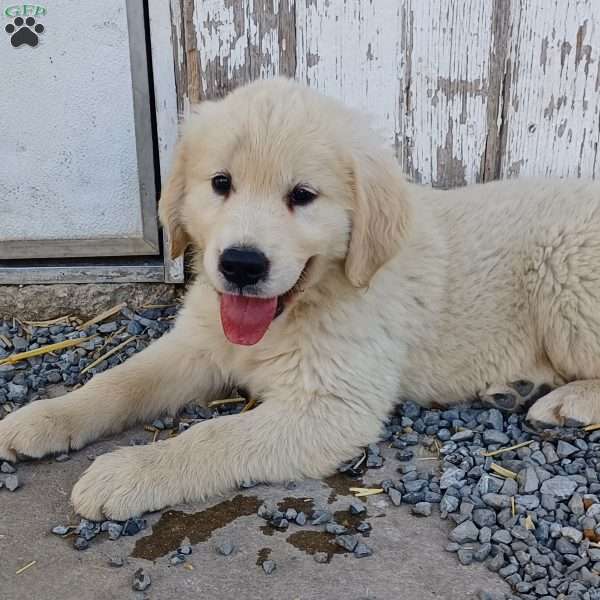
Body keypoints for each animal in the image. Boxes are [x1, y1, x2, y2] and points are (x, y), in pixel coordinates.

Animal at [1, 78, 600, 520]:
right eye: (221, 183)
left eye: (303, 196)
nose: (241, 264)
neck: (295, 312)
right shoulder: (196, 344)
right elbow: (118, 381)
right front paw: (41, 418)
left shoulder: (330, 407)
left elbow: (214, 435)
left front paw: (126, 473)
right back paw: (518, 387)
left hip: (569, 273)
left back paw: (563, 403)